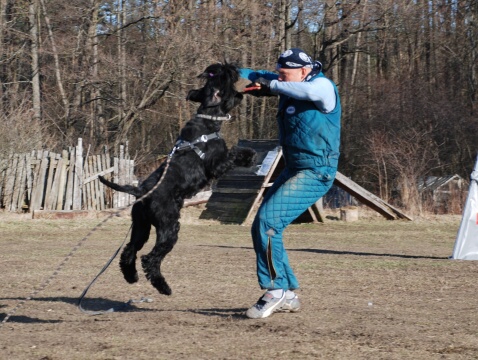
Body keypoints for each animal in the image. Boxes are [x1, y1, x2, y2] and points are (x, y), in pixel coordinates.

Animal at [98, 63, 256, 296]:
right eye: (226, 75)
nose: (233, 69)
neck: (208, 119)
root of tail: (141, 191)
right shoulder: (217, 165)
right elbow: (234, 152)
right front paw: (250, 155)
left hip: (141, 226)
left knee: (129, 250)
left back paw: (131, 276)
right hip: (168, 226)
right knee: (150, 258)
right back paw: (162, 286)